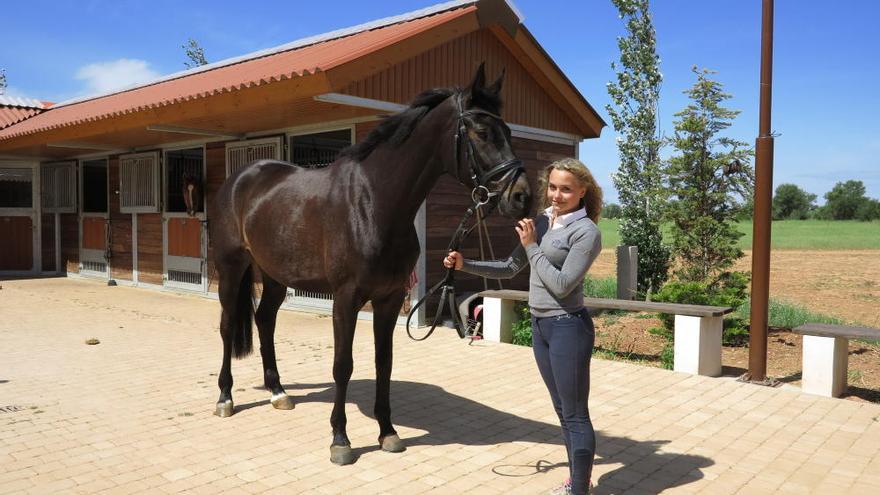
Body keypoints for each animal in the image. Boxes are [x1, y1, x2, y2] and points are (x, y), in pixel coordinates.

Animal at [210, 65, 532, 464]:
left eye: (509, 132)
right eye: (482, 132)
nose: (522, 197)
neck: (373, 203)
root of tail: (241, 178)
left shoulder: (389, 298)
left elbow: (384, 362)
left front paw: (388, 432)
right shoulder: (346, 299)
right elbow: (343, 365)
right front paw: (340, 439)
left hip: (275, 275)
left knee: (265, 320)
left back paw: (278, 392)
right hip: (232, 267)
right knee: (227, 327)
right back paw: (225, 398)